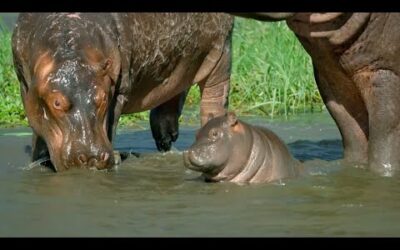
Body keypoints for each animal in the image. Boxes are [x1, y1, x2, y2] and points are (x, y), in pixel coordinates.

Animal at [12, 12, 234, 171]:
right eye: (57, 102)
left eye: (103, 98)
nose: (92, 156)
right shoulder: (26, 85)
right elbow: (38, 128)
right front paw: (39, 158)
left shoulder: (118, 89)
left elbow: (110, 123)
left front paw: (117, 159)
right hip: (181, 64)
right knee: (168, 106)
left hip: (221, 52)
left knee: (214, 100)